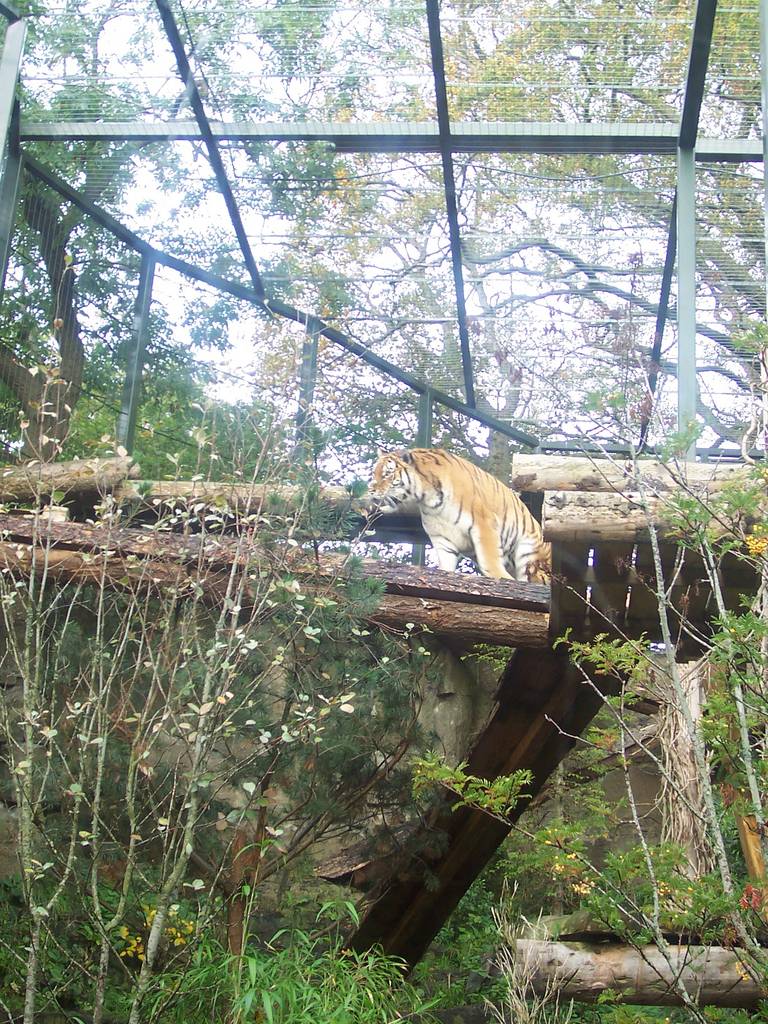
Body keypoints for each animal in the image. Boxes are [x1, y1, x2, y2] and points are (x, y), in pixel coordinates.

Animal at [369, 448, 551, 583]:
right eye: (374, 473)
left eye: (387, 474)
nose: (370, 490)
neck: (427, 499)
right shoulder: (442, 538)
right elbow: (446, 564)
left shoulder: (484, 523)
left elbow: (489, 559)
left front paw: (501, 578)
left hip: (529, 555)